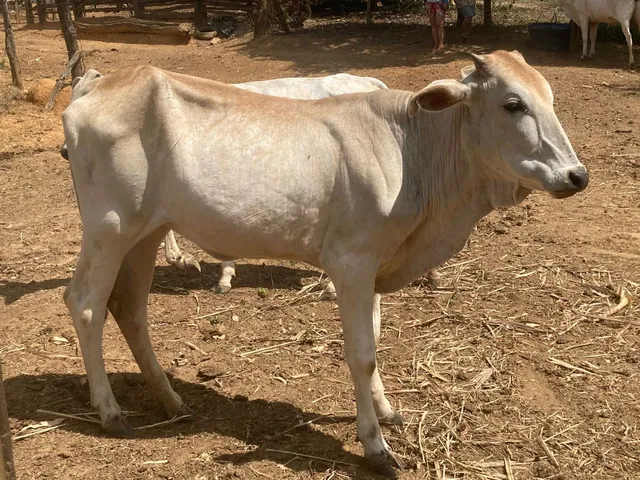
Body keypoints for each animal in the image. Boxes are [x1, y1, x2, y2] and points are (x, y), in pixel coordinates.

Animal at [61, 51, 588, 476]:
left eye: (549, 97)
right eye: (513, 104)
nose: (576, 175)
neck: (414, 150)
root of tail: (95, 88)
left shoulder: (374, 266)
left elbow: (374, 339)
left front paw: (387, 410)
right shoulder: (351, 263)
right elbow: (361, 353)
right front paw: (375, 446)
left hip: (146, 233)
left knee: (129, 309)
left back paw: (172, 401)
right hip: (109, 229)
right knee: (84, 303)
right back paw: (111, 412)